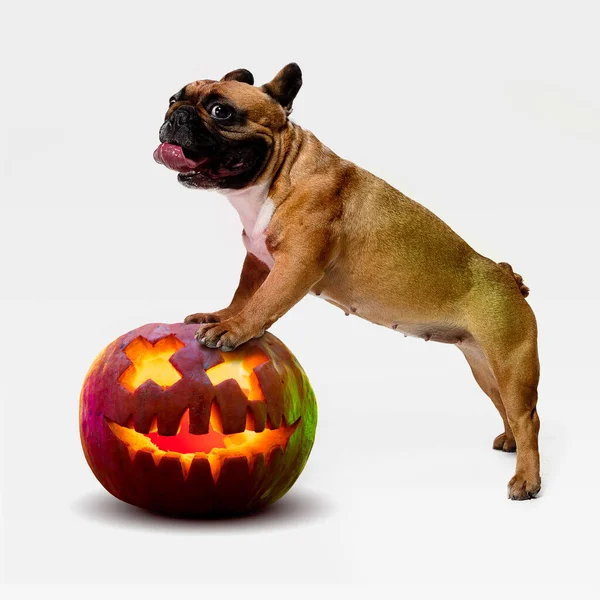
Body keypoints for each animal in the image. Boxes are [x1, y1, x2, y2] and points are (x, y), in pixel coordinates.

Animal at [154, 63, 540, 500]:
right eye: (173, 98)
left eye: (221, 111)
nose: (175, 115)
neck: (279, 172)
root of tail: (508, 277)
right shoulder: (258, 261)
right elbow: (244, 295)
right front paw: (219, 316)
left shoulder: (296, 265)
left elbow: (263, 302)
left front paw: (233, 330)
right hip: (484, 366)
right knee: (505, 406)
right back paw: (509, 443)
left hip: (512, 363)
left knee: (526, 417)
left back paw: (526, 480)